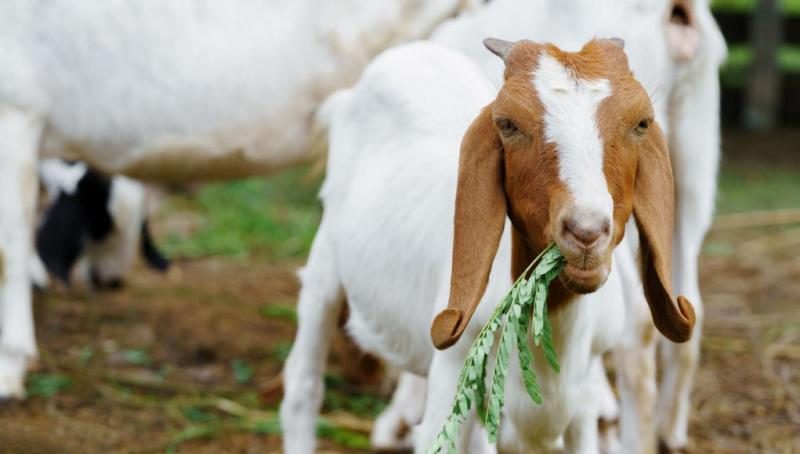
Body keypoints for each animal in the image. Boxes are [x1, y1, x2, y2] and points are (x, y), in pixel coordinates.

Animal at [282, 37, 692, 452]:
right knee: (304, 383)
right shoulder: (452, 373)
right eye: (508, 124)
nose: (587, 232)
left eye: (641, 123)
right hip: (325, 262)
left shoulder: (582, 400)